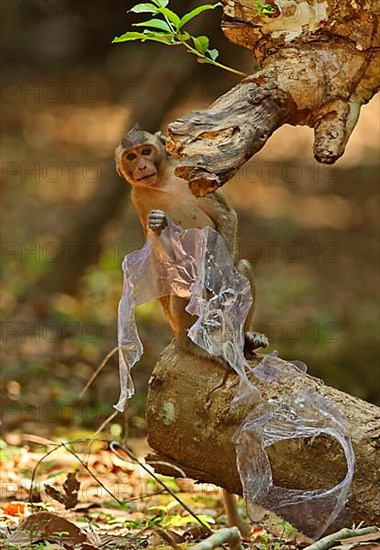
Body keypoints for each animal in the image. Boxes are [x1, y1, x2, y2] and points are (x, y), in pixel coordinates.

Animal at [116, 126, 268, 540]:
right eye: (130, 157)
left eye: (146, 151)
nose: (141, 167)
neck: (164, 183)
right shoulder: (138, 199)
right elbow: (160, 253)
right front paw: (161, 230)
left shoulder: (194, 182)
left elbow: (226, 219)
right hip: (179, 320)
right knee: (182, 288)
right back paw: (199, 344)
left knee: (240, 270)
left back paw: (242, 338)